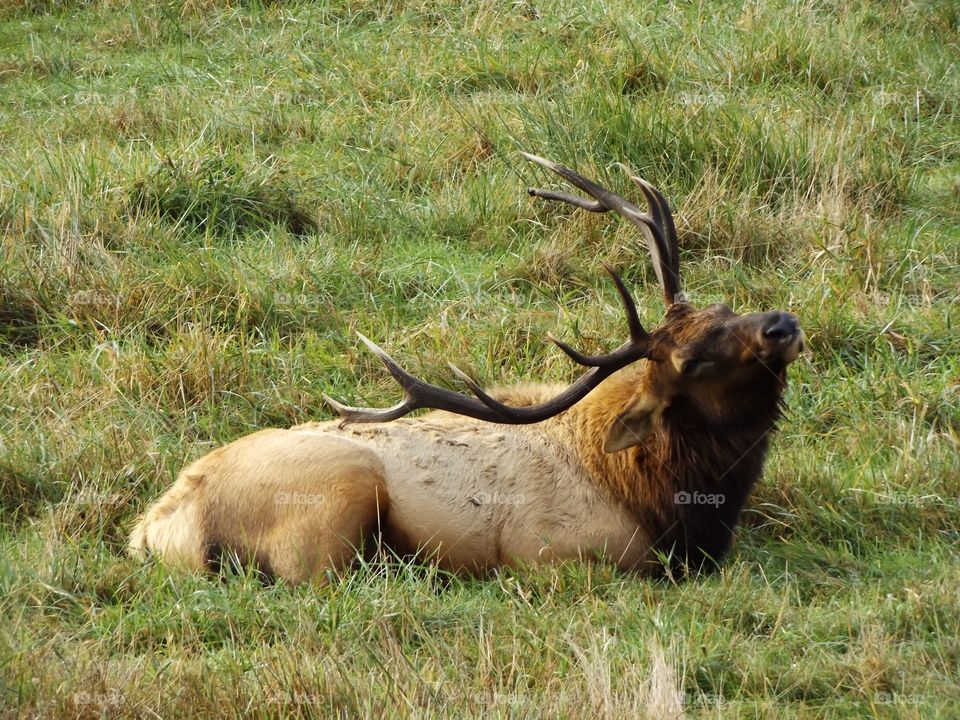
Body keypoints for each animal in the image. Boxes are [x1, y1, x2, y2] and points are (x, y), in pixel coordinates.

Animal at [129, 153, 804, 584]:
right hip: (339, 496)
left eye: (726, 308)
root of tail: (158, 528)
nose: (782, 323)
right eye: (691, 360)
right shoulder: (548, 555)